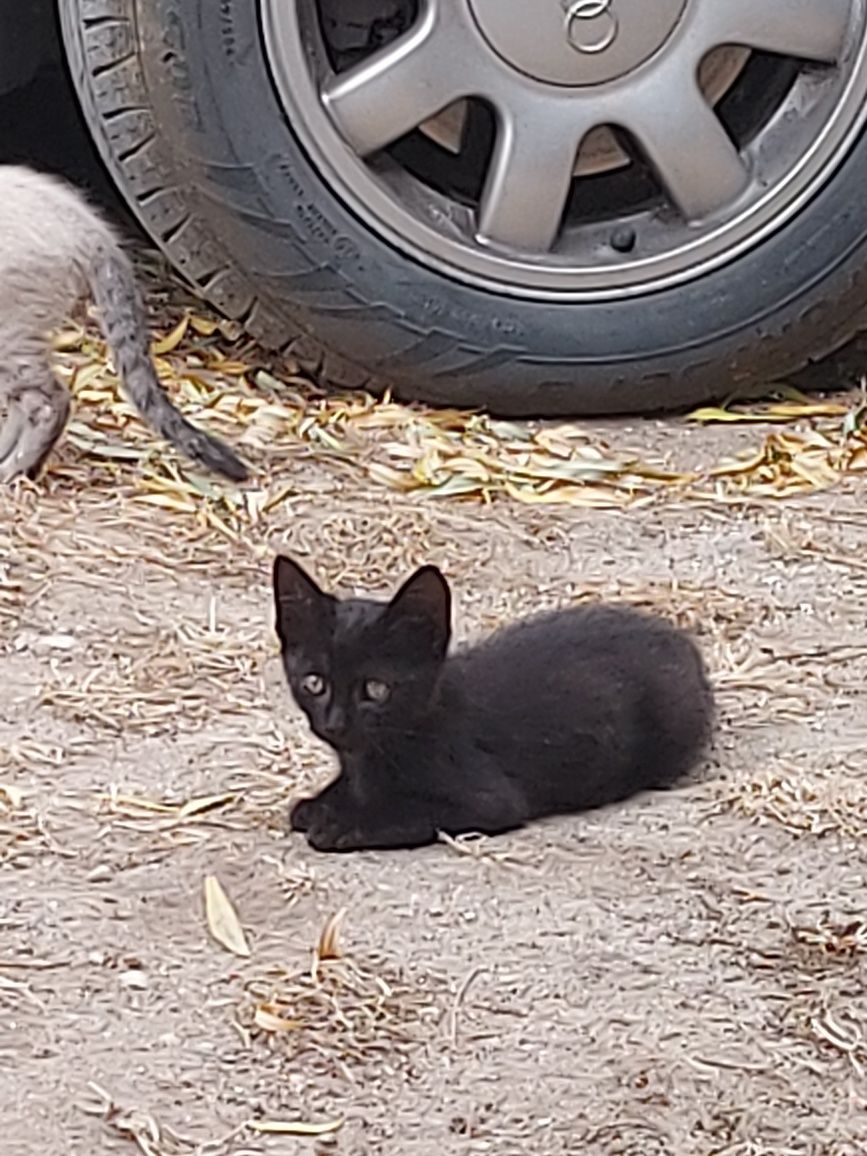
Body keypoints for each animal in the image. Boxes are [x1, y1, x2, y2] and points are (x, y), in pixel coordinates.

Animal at [275, 554, 716, 855]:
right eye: (314, 683)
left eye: (376, 689)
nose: (335, 724)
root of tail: (681, 640)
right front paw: (320, 805)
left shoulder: (489, 800)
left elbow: (413, 811)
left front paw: (345, 822)